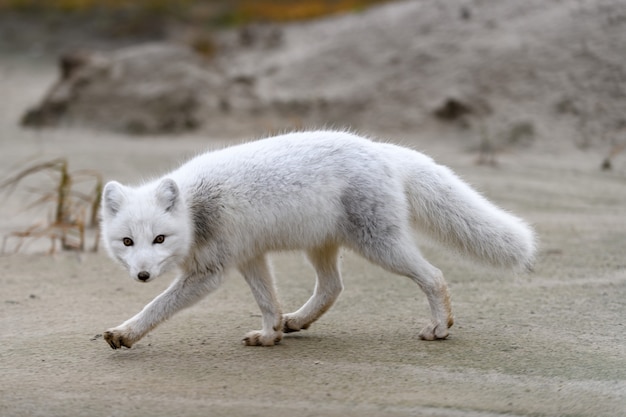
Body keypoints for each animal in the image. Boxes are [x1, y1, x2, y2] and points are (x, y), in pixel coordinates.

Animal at [100, 130, 532, 348]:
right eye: (127, 243)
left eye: (159, 239)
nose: (141, 276)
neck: (196, 208)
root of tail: (381, 150)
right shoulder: (249, 257)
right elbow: (267, 301)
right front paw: (270, 334)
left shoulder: (210, 272)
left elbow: (158, 306)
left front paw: (126, 333)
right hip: (321, 246)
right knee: (332, 287)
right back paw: (296, 321)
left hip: (380, 245)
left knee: (435, 276)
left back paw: (440, 327)